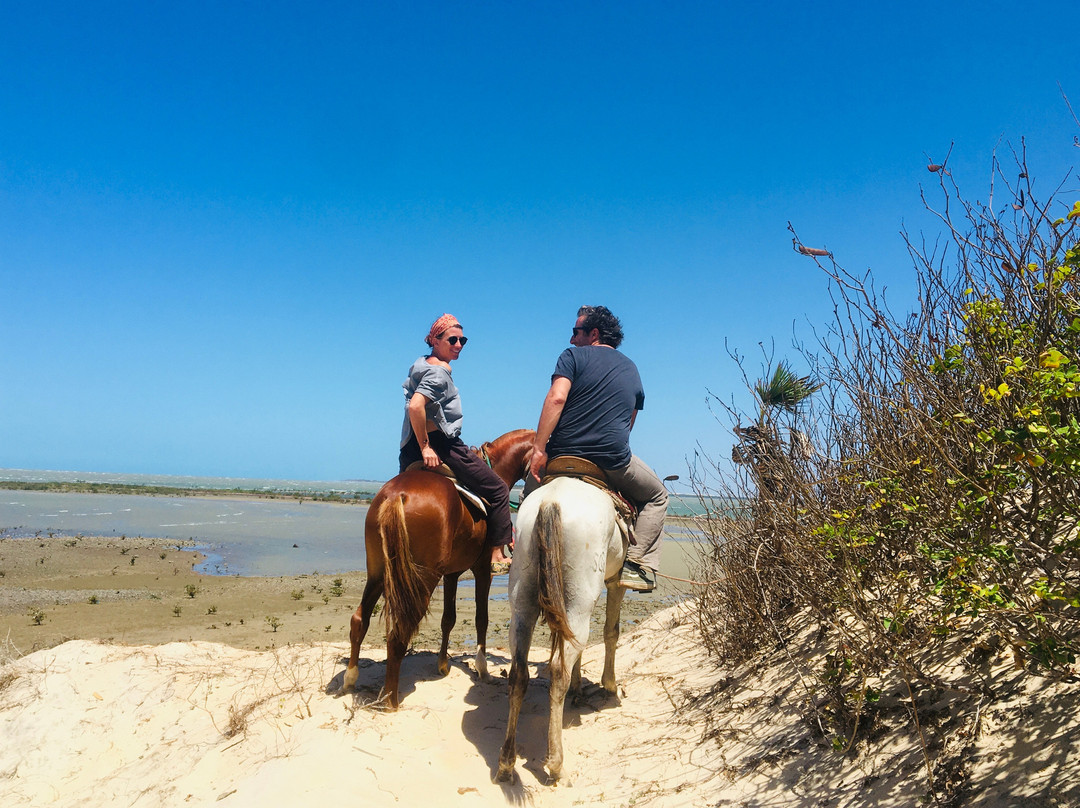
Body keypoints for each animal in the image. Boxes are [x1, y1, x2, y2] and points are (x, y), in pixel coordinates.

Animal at [343, 429, 533, 708]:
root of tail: (396, 495)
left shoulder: (452, 573)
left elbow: (448, 619)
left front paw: (443, 665)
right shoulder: (482, 570)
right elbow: (481, 619)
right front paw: (482, 669)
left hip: (378, 572)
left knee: (359, 619)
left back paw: (350, 679)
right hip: (423, 579)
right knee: (399, 631)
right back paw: (390, 701)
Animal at [494, 477, 626, 777]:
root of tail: (552, 501)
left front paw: (579, 687)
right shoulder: (616, 582)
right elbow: (611, 632)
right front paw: (610, 685)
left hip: (523, 603)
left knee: (519, 673)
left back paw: (506, 761)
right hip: (579, 602)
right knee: (557, 673)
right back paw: (555, 763)